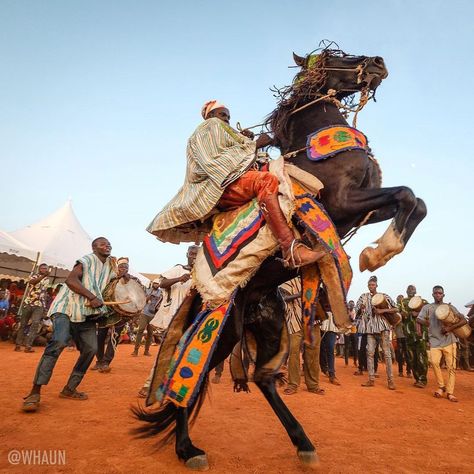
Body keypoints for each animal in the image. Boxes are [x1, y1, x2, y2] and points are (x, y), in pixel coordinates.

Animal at [133, 47, 426, 470]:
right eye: (331, 57)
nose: (376, 63)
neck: (313, 151)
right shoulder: (343, 203)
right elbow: (406, 195)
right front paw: (376, 253)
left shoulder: (364, 207)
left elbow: (415, 202)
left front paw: (379, 249)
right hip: (222, 328)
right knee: (189, 373)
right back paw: (188, 449)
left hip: (267, 325)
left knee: (262, 379)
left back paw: (302, 442)